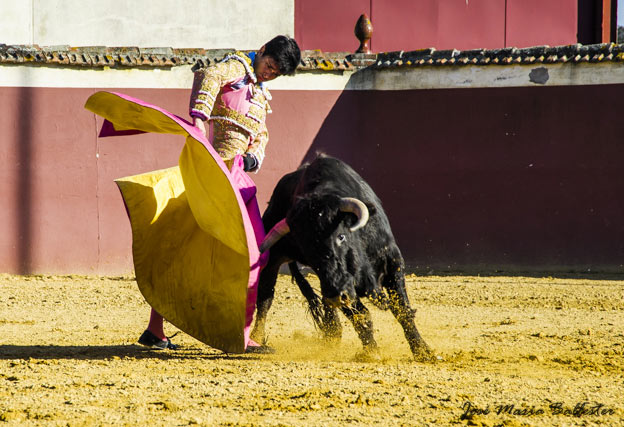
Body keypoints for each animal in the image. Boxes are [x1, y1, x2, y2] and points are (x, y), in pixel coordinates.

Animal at [250, 155, 434, 362]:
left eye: (341, 236)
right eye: (307, 251)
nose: (336, 294)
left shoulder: (393, 261)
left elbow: (402, 309)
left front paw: (423, 351)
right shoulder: (342, 287)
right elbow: (360, 315)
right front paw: (371, 351)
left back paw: (332, 334)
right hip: (274, 261)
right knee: (265, 299)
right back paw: (257, 339)